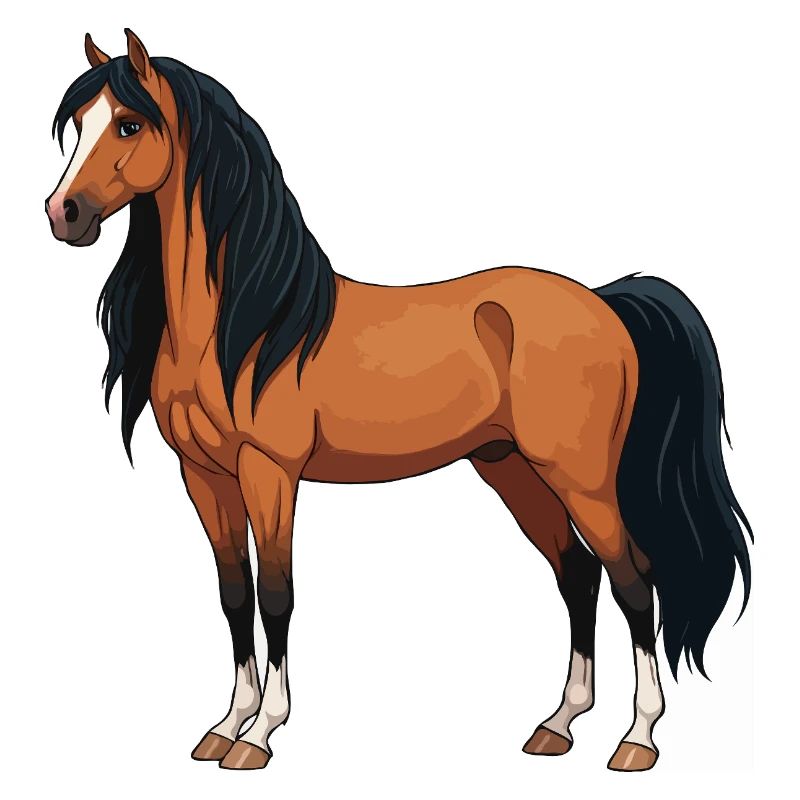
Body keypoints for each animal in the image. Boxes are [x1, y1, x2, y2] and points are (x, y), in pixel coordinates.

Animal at [45, 29, 752, 772]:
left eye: (129, 123)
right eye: (79, 124)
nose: (63, 213)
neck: (250, 322)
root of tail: (603, 301)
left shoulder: (271, 473)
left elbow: (276, 597)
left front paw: (260, 735)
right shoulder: (204, 475)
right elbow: (234, 596)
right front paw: (224, 726)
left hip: (581, 477)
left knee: (633, 580)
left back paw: (637, 738)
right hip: (510, 468)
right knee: (578, 575)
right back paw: (558, 724)